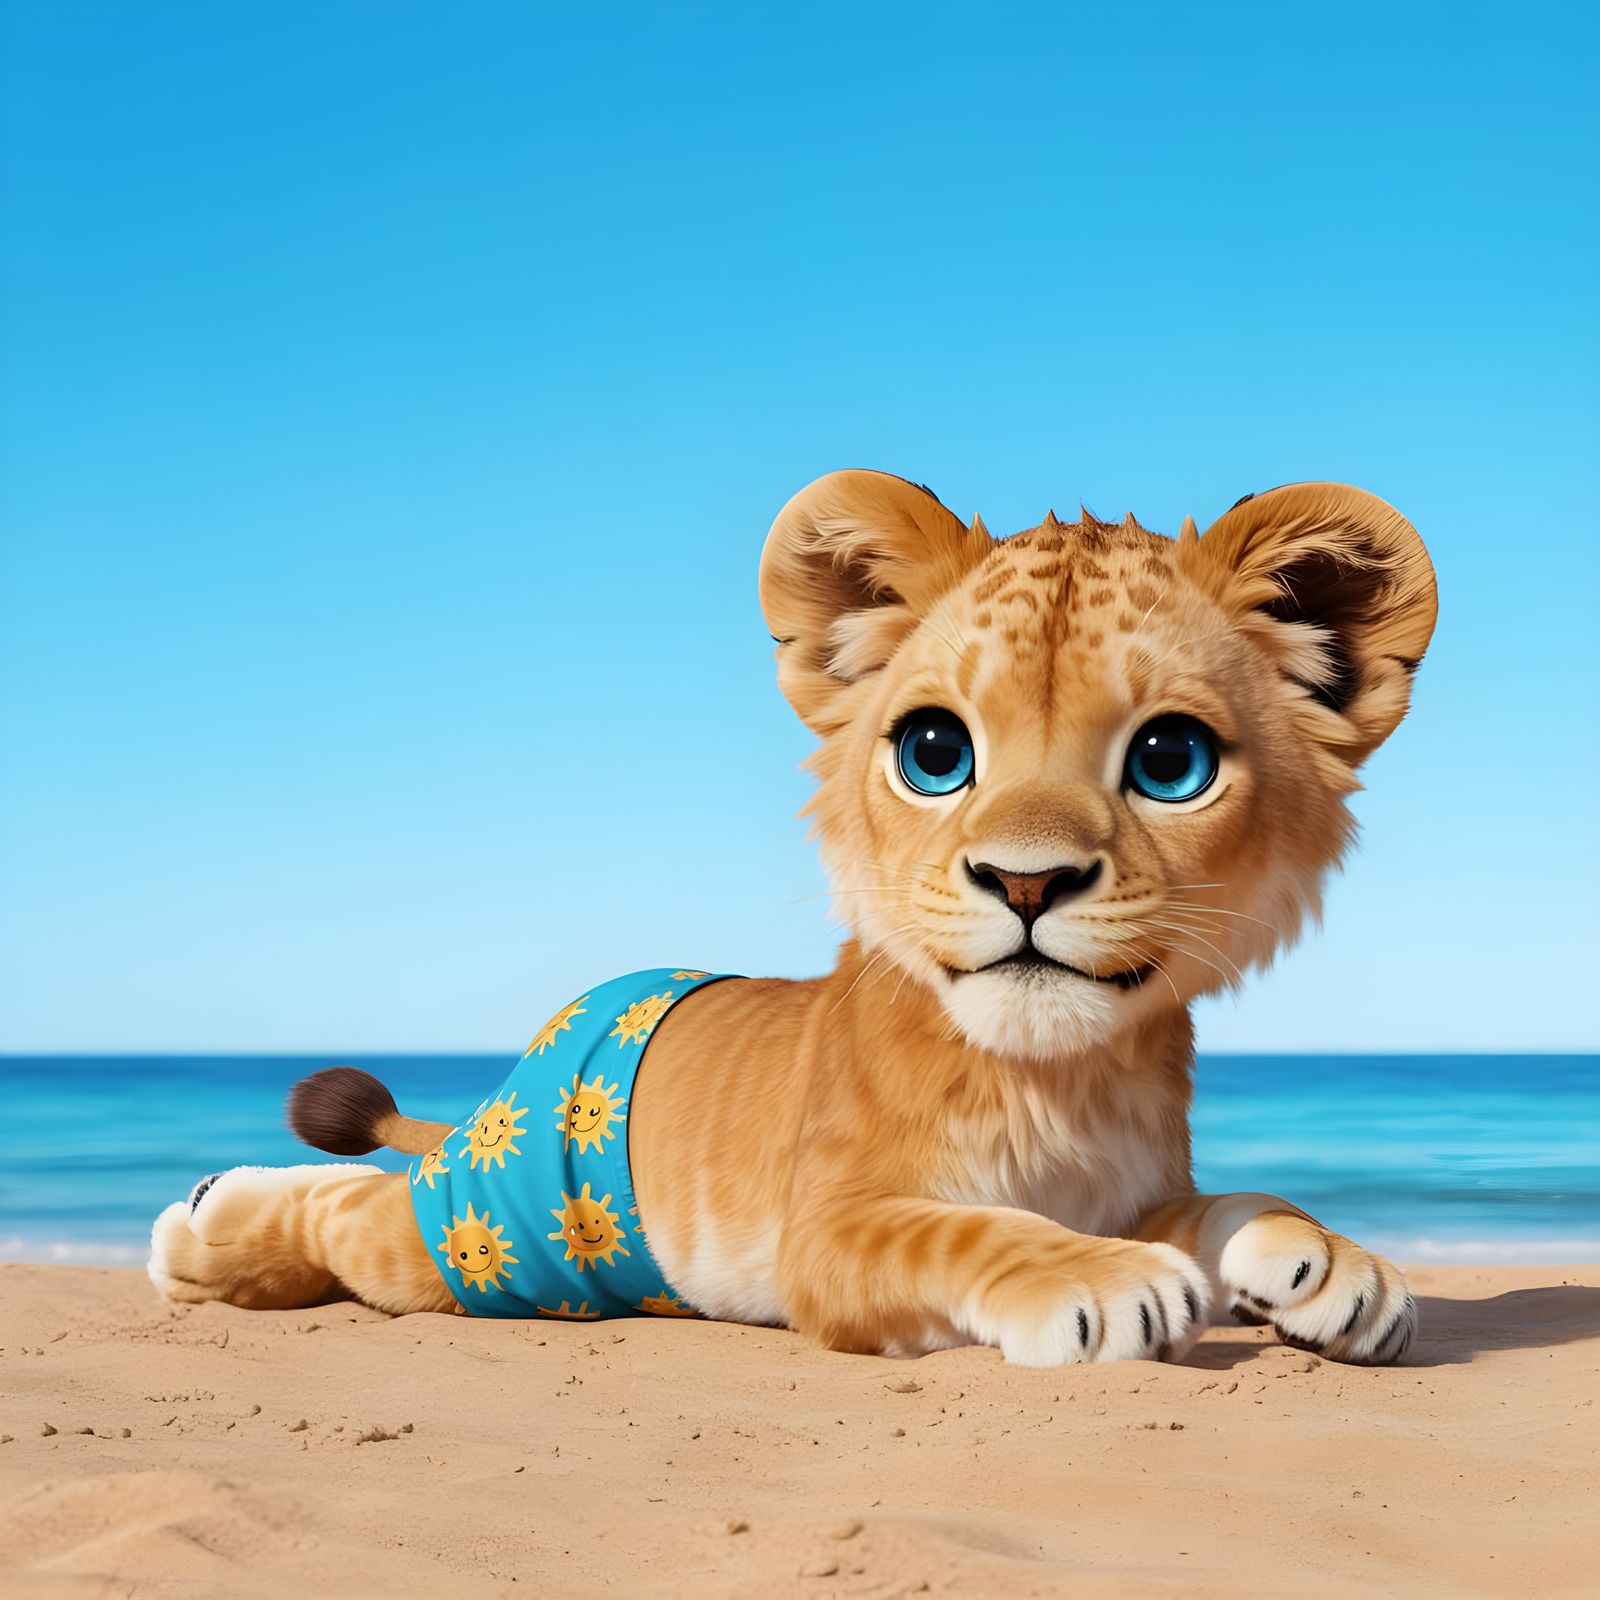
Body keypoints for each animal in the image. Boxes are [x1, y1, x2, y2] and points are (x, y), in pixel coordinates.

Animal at [149, 470, 1436, 1366]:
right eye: (935, 751)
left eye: (1170, 760)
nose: (1025, 884)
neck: (1061, 1078)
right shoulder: (828, 1231)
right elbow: (972, 1228)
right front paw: (1108, 1281)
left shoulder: (1134, 1186)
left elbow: (1237, 1200)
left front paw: (1331, 1265)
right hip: (495, 1241)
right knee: (361, 1209)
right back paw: (204, 1229)